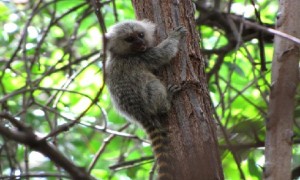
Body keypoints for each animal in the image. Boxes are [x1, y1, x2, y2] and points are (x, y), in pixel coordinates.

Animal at [104, 19, 186, 180]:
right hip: (148, 99)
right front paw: (175, 36)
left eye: (140, 35)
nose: (140, 42)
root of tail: (141, 115)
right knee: (153, 86)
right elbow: (164, 53)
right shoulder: (143, 57)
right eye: (130, 39)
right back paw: (167, 100)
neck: (120, 55)